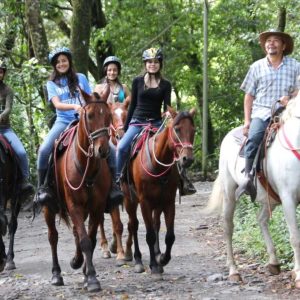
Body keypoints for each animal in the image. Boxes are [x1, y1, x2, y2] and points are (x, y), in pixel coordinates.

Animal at [42, 92, 112, 292]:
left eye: (108, 115)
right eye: (90, 116)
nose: (102, 150)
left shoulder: (96, 207)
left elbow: (90, 239)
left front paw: (86, 272)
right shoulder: (74, 206)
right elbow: (85, 240)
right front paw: (92, 279)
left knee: (75, 232)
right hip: (48, 208)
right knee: (53, 237)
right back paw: (56, 274)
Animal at [122, 106, 197, 274]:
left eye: (194, 130)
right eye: (177, 129)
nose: (187, 159)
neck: (158, 163)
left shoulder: (168, 201)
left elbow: (169, 236)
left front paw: (162, 259)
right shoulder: (145, 202)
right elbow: (149, 235)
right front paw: (154, 266)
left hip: (158, 203)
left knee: (156, 224)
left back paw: (156, 254)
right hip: (130, 199)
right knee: (133, 225)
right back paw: (138, 260)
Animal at [204, 96, 300, 288]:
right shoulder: (288, 199)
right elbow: (295, 237)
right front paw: (299, 274)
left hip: (272, 198)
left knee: (261, 219)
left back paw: (273, 263)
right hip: (229, 193)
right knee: (228, 227)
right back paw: (234, 271)